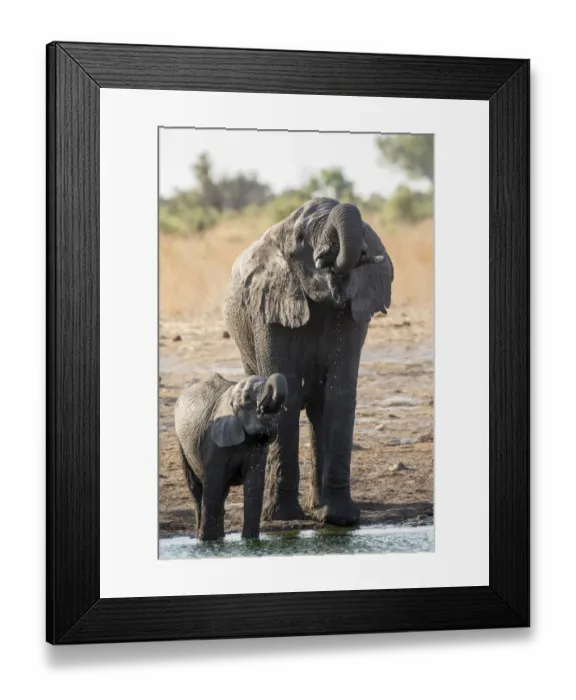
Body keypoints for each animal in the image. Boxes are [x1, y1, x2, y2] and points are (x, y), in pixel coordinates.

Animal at [174, 372, 289, 541]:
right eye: (247, 398)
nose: (262, 408)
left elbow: (254, 484)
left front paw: (250, 541)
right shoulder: (213, 437)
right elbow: (213, 482)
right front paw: (208, 541)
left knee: (222, 492)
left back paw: (219, 537)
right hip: (182, 443)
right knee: (196, 489)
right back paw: (201, 538)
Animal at [223, 197, 393, 526]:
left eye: (365, 233)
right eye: (301, 238)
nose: (329, 256)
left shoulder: (351, 310)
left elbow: (340, 393)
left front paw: (340, 519)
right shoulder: (268, 307)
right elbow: (283, 391)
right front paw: (282, 519)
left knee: (319, 407)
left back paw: (318, 507)